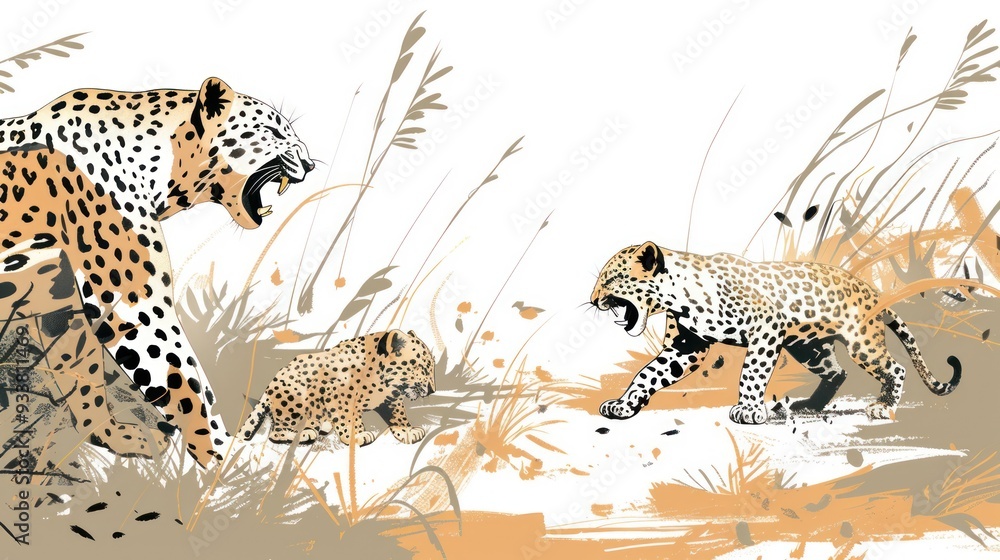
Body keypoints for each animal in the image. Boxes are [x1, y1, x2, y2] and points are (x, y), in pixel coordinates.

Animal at [0, 77, 314, 467]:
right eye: (272, 132)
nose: (309, 163)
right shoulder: (136, 302)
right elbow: (184, 380)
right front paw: (224, 455)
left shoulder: (59, 299)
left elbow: (82, 374)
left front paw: (113, 435)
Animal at [239, 329, 435, 446]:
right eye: (423, 367)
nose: (433, 389)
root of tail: (271, 382)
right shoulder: (339, 395)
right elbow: (348, 418)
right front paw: (357, 436)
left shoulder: (391, 399)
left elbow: (398, 416)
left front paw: (408, 431)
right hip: (294, 401)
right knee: (277, 432)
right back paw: (298, 435)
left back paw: (316, 428)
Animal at [589, 241, 961, 424]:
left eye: (611, 279)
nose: (593, 300)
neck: (679, 297)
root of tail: (873, 292)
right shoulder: (686, 345)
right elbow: (647, 374)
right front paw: (623, 405)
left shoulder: (766, 326)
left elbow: (752, 373)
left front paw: (749, 411)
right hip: (809, 348)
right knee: (837, 372)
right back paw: (810, 405)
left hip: (861, 342)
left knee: (893, 368)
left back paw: (883, 407)